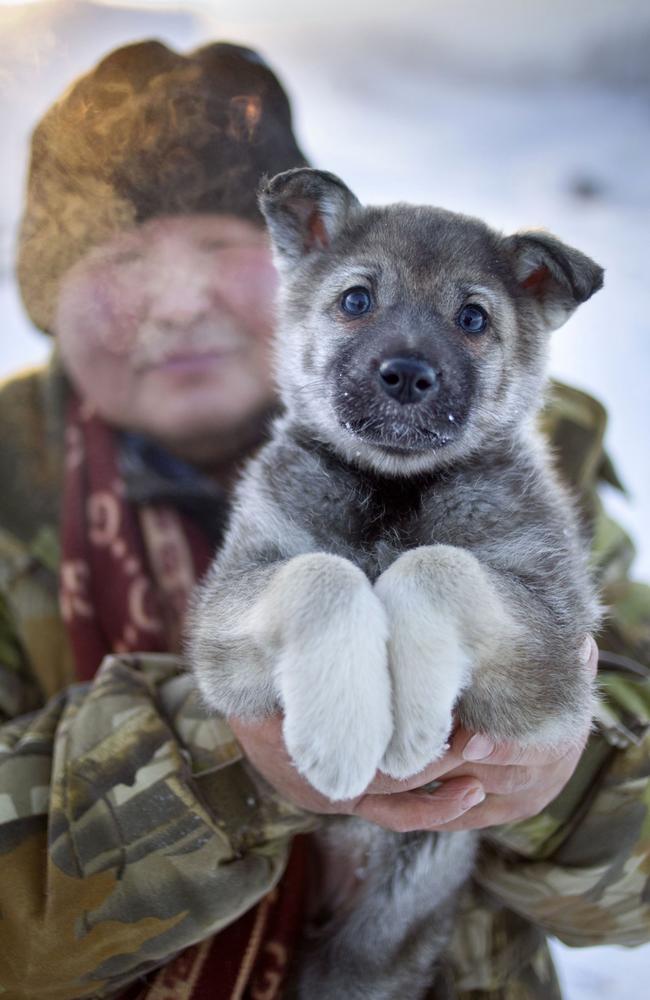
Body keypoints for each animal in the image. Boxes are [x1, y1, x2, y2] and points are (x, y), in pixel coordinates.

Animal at [187, 170, 604, 1000]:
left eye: (473, 318)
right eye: (356, 300)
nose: (408, 375)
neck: (394, 490)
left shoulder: (556, 654)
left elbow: (439, 564)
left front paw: (410, 719)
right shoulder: (229, 610)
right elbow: (322, 571)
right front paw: (342, 734)